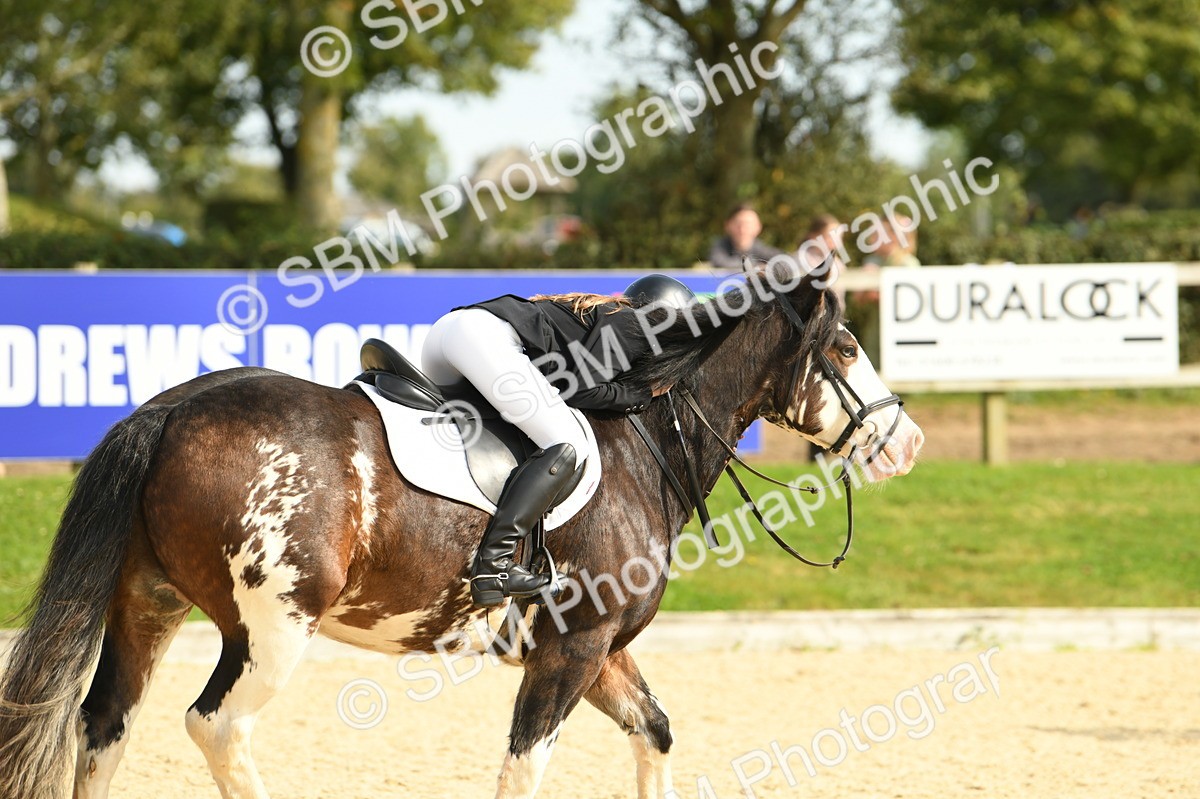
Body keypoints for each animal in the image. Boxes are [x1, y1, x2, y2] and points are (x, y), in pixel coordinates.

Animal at [0, 268, 923, 799]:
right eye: (846, 345)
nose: (907, 441)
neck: (644, 433)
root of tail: (167, 409)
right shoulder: (572, 650)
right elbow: (525, 765)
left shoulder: (594, 647)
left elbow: (655, 732)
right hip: (273, 625)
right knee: (218, 728)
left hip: (147, 604)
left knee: (104, 725)